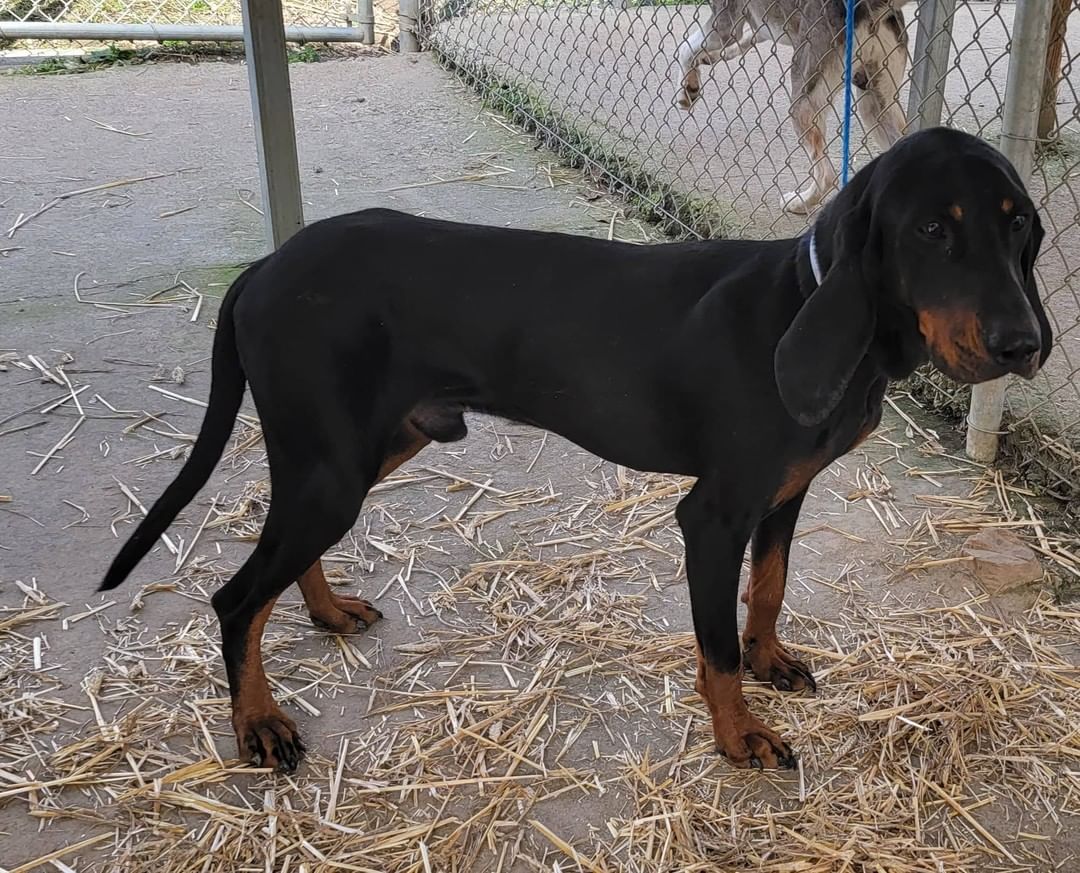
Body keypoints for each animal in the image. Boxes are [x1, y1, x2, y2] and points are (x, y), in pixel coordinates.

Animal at [99, 129, 1045, 769]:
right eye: (933, 230)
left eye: (1021, 228)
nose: (1025, 344)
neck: (805, 306)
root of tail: (262, 268)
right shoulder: (713, 515)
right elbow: (716, 648)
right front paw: (740, 733)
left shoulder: (784, 496)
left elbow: (770, 591)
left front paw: (771, 660)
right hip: (335, 466)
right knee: (234, 598)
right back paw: (258, 721)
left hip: (362, 449)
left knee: (278, 557)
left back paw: (327, 613)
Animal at [673, 0, 911, 212]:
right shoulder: (759, 27)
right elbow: (744, 40)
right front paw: (709, 59)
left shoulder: (725, 25)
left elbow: (686, 46)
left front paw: (686, 91)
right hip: (875, 105)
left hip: (803, 103)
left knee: (826, 175)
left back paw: (799, 203)